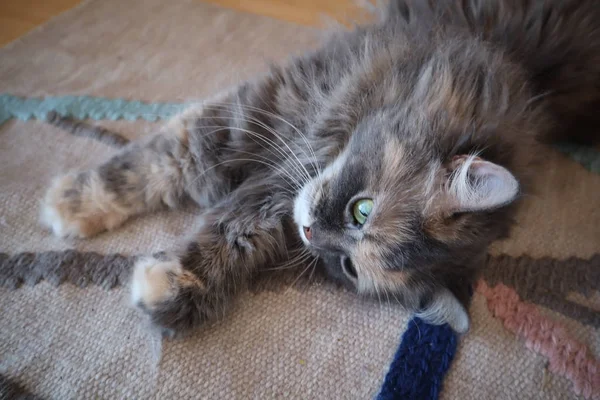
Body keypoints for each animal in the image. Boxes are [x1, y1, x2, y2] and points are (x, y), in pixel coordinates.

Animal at [41, 0, 600, 334]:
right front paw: (70, 204)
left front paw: (173, 289)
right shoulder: (256, 116)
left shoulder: (276, 195)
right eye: (361, 210)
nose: (311, 233)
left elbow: (234, 234)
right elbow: (157, 164)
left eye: (349, 267)